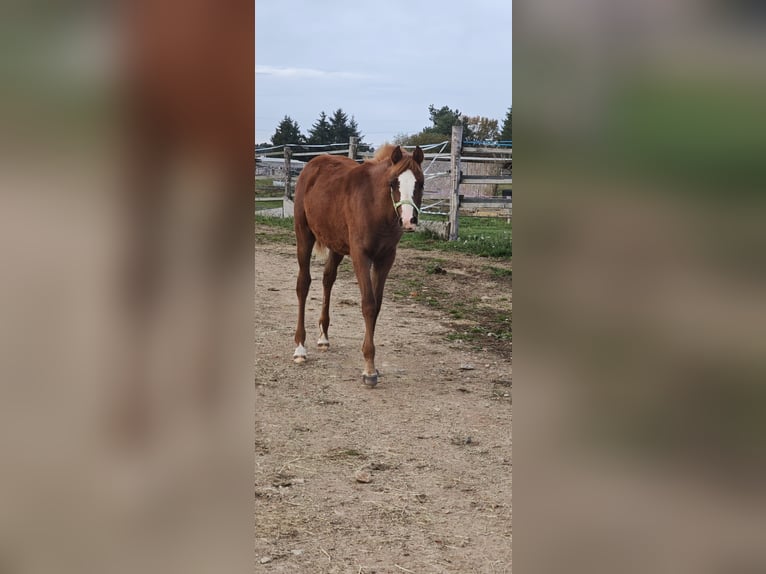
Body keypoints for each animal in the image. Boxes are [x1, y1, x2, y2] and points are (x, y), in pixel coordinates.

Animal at [292, 144, 425, 386]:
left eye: (420, 182)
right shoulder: (360, 256)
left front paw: (371, 366)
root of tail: (312, 164)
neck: (375, 206)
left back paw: (323, 337)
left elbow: (377, 306)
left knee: (328, 279)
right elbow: (368, 305)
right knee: (303, 284)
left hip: (336, 244)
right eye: (394, 182)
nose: (408, 221)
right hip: (304, 235)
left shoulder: (385, 259)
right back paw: (300, 348)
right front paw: (369, 370)